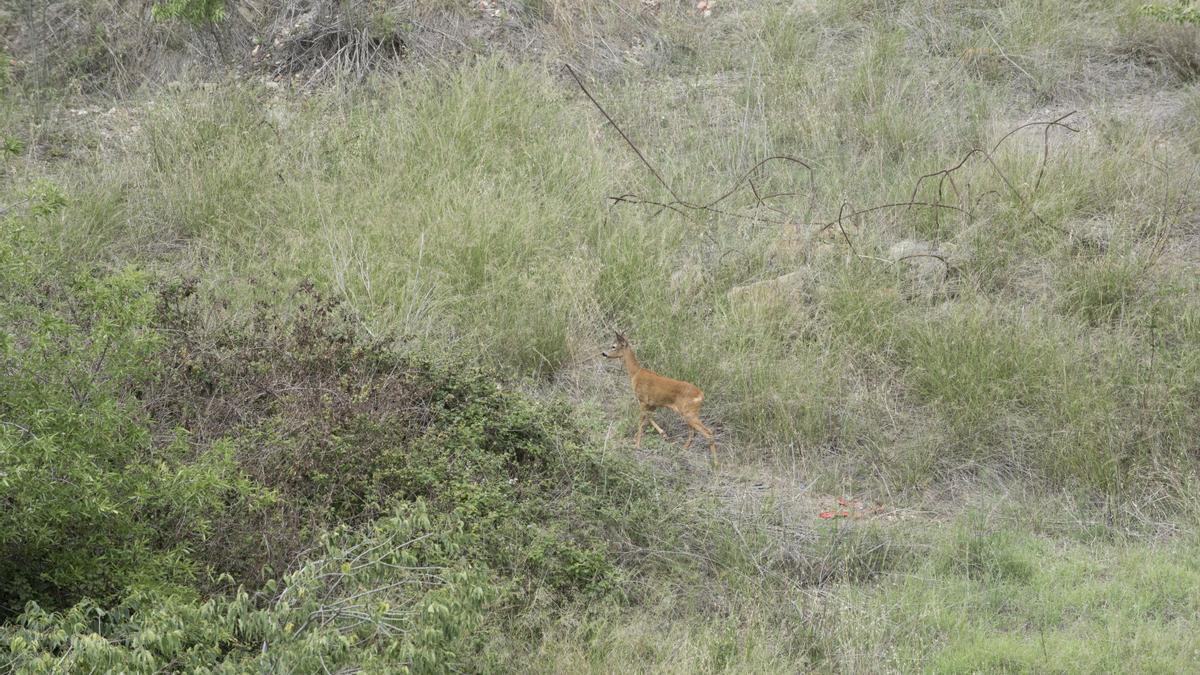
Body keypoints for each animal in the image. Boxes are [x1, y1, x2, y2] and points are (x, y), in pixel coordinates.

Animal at [604, 329, 715, 466]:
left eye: (613, 346)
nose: (604, 353)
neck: (635, 373)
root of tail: (701, 395)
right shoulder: (653, 403)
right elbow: (649, 418)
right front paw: (663, 434)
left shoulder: (643, 400)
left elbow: (641, 421)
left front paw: (637, 444)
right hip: (688, 414)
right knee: (692, 433)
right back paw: (682, 452)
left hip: (689, 413)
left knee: (708, 433)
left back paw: (715, 464)